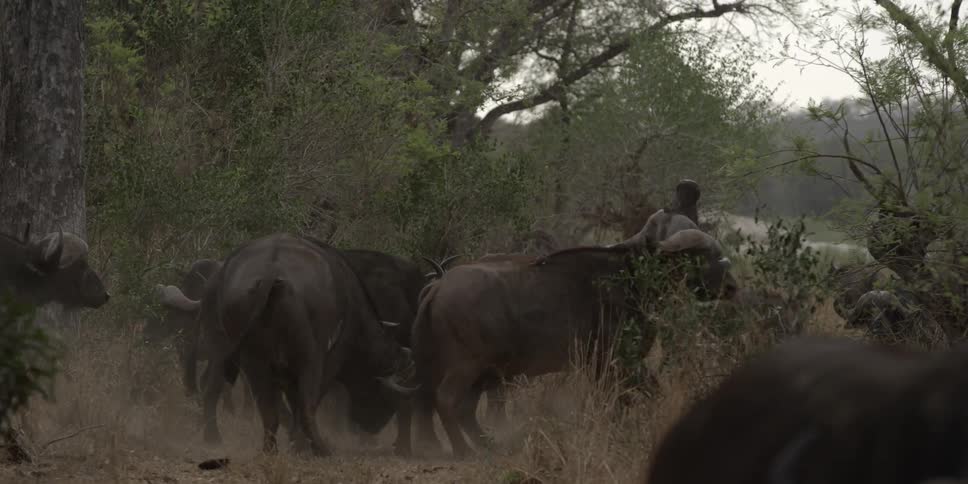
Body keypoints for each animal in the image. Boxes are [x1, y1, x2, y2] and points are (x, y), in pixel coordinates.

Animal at [156, 233, 418, 455]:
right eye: (385, 393)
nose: (373, 427)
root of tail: (271, 272)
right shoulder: (329, 361)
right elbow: (304, 401)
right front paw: (298, 441)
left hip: (234, 352)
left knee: (222, 391)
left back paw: (225, 439)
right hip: (308, 357)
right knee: (306, 403)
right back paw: (318, 447)